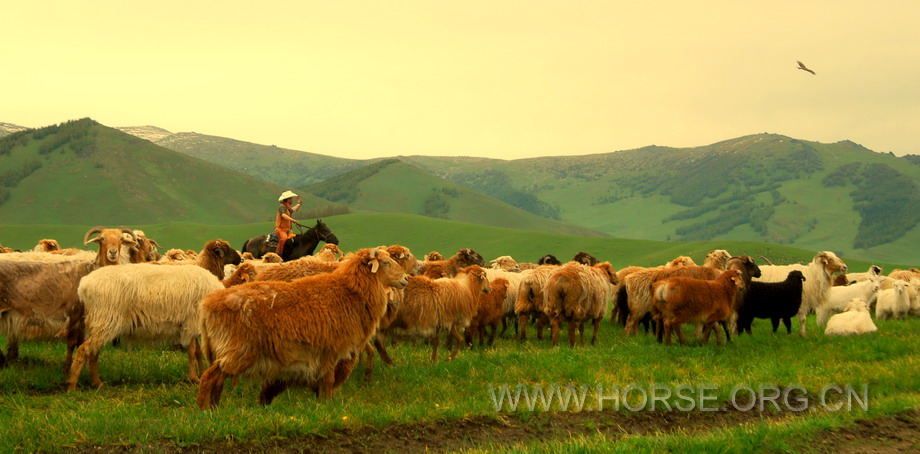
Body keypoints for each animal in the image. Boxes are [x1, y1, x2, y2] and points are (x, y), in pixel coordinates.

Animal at [197, 248, 406, 408]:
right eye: (386, 263)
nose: (405, 278)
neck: (350, 292)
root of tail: (207, 305)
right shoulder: (331, 351)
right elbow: (328, 382)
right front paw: (327, 406)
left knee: (218, 381)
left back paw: (215, 408)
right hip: (237, 350)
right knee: (209, 377)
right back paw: (205, 410)